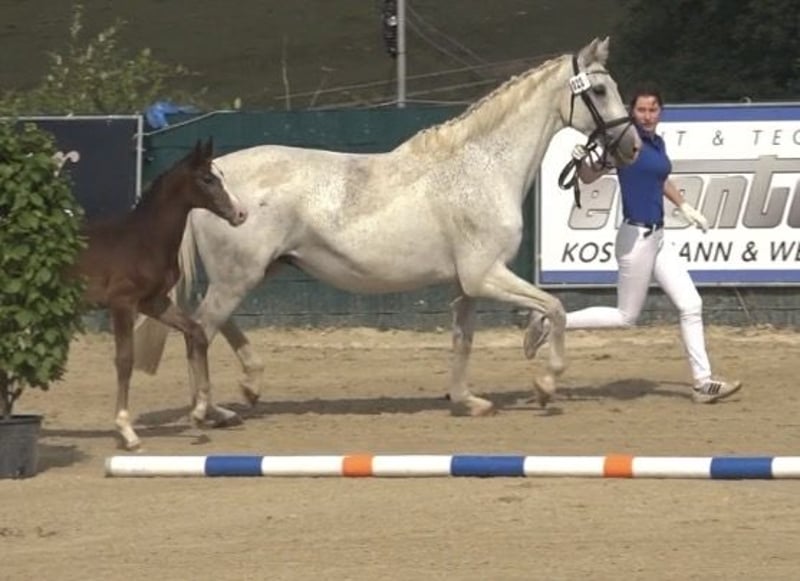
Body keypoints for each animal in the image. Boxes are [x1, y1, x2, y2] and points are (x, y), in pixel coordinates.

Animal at [70, 138, 248, 450]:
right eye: (208, 179)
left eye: (222, 175)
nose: (240, 214)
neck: (143, 240)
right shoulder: (122, 303)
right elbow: (125, 360)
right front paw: (127, 431)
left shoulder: (154, 302)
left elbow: (196, 332)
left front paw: (200, 412)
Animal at [134, 37, 640, 424]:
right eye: (599, 89)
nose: (631, 146)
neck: (483, 167)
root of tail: (212, 178)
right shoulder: (485, 274)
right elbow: (554, 307)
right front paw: (546, 382)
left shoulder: (468, 284)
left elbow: (465, 338)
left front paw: (470, 399)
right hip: (239, 276)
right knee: (200, 329)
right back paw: (208, 411)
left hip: (253, 272)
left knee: (210, 323)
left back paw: (248, 388)